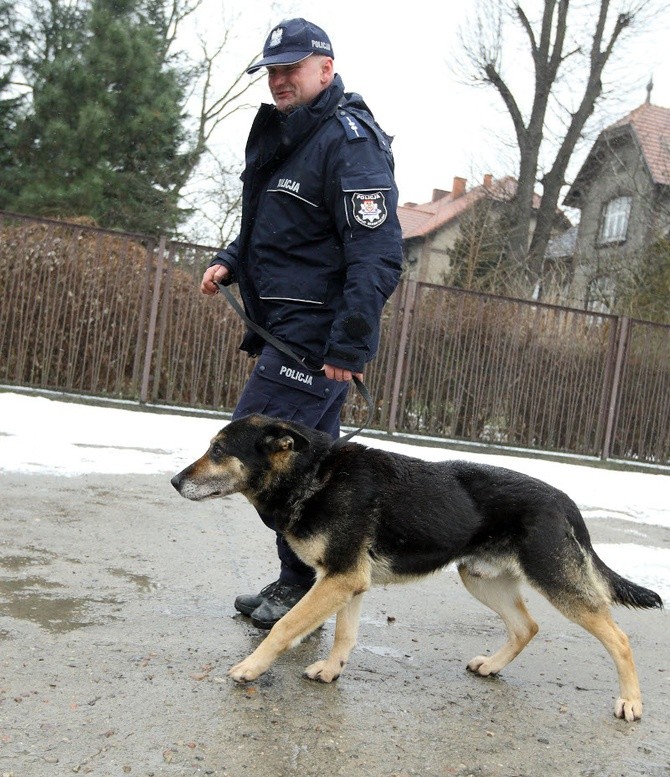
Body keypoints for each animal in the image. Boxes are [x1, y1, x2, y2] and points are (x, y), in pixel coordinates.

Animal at [171, 416, 664, 720]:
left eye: (218, 450)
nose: (175, 481)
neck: (313, 476)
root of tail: (564, 500)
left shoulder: (339, 579)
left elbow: (284, 627)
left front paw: (250, 668)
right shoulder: (346, 582)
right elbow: (345, 634)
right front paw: (331, 671)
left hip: (556, 583)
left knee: (618, 638)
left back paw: (630, 703)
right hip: (481, 580)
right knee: (527, 627)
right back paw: (492, 666)